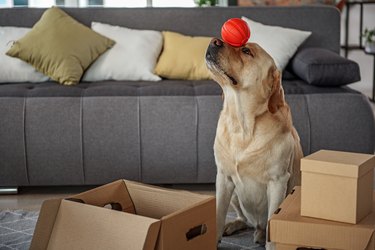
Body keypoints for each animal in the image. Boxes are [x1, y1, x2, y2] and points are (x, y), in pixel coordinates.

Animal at [206, 38, 302, 247]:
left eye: (246, 51)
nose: (213, 41)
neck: (241, 125)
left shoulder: (278, 181)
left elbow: (272, 228)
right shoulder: (223, 176)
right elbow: (217, 214)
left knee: (262, 226)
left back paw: (259, 235)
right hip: (234, 194)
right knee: (244, 219)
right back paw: (233, 225)